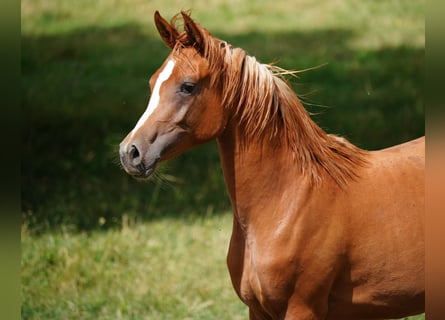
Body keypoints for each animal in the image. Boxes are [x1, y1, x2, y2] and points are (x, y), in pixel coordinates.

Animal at [118, 11, 424, 318]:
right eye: (152, 83)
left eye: (188, 86)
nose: (130, 152)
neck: (288, 200)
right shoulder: (257, 309)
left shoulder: (302, 308)